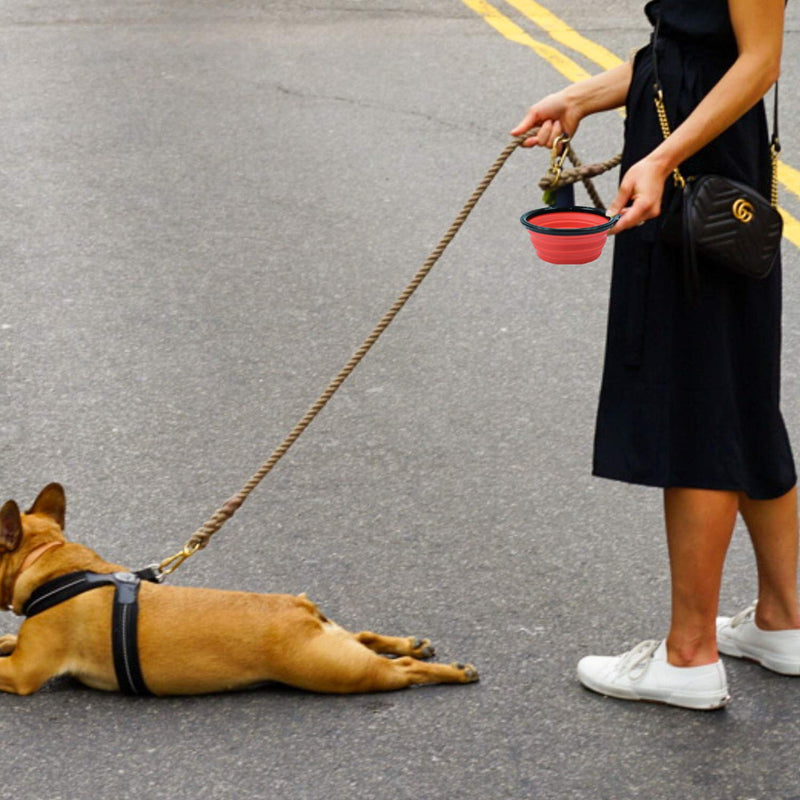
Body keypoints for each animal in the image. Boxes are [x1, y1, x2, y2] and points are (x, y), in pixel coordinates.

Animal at [0, 484, 478, 696]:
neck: (50, 562)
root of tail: (302, 608)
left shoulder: (23, 672)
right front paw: (5, 637)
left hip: (337, 671)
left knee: (401, 671)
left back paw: (451, 672)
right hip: (336, 648)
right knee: (363, 637)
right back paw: (412, 644)